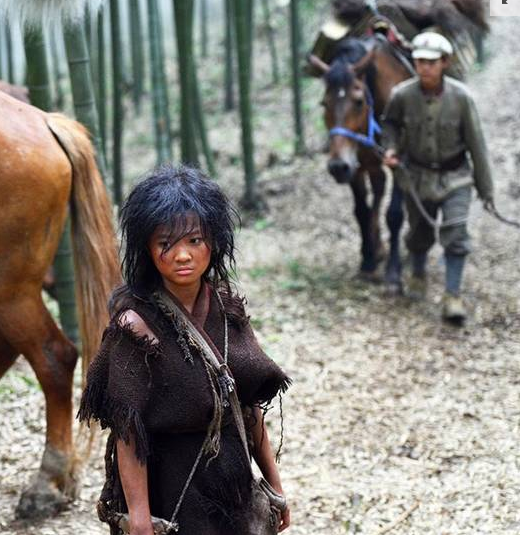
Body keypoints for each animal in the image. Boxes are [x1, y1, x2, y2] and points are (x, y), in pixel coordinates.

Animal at [308, 33, 414, 292]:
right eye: (324, 104)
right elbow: (361, 211)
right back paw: (377, 248)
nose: (336, 167)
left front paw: (393, 272)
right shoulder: (354, 166)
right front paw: (367, 260)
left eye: (358, 101)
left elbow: (394, 214)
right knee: (377, 190)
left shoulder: (398, 159)